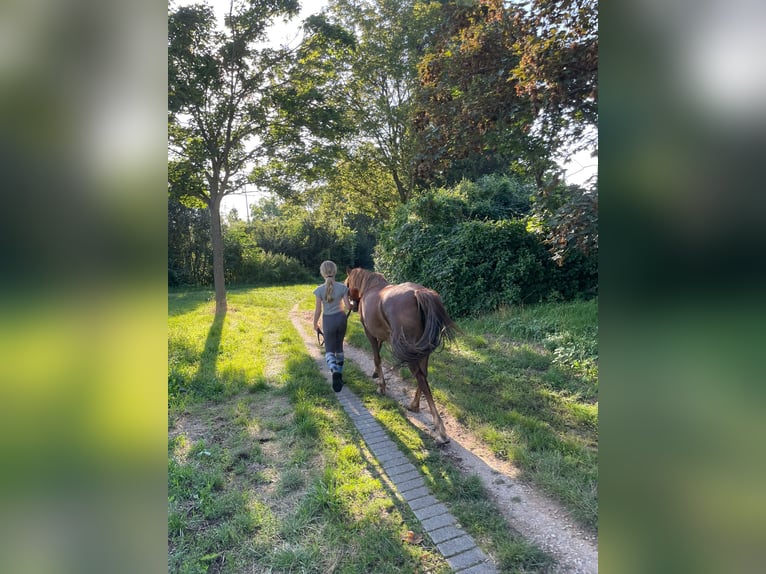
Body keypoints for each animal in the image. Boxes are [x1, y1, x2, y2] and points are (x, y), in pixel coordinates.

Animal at [344, 268, 460, 446]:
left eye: (347, 284)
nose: (353, 305)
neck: (370, 288)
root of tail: (419, 293)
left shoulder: (369, 333)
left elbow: (376, 357)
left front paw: (381, 386)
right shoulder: (381, 336)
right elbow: (378, 354)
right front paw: (376, 374)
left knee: (421, 378)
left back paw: (440, 430)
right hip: (422, 350)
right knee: (423, 376)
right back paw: (414, 405)